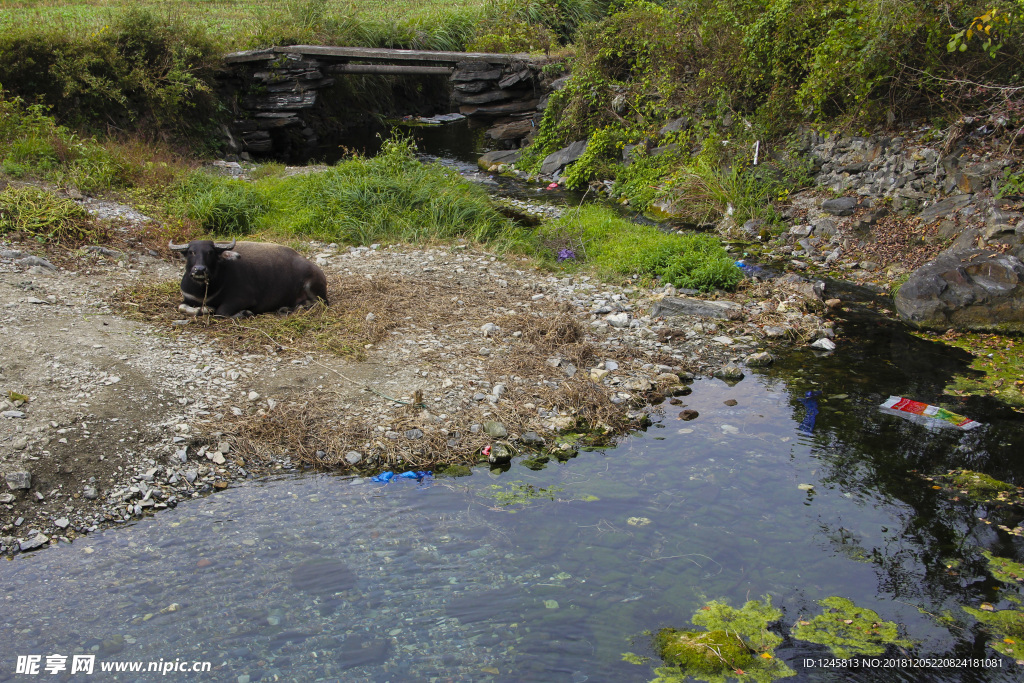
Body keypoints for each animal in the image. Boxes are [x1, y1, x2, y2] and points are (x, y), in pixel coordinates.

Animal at [168, 239, 327, 319]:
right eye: (191, 252)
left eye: (210, 252)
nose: (200, 269)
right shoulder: (188, 297)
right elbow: (181, 307)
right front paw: (204, 309)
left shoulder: (243, 299)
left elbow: (221, 312)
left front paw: (245, 313)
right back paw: (285, 308)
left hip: (312, 287)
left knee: (318, 303)